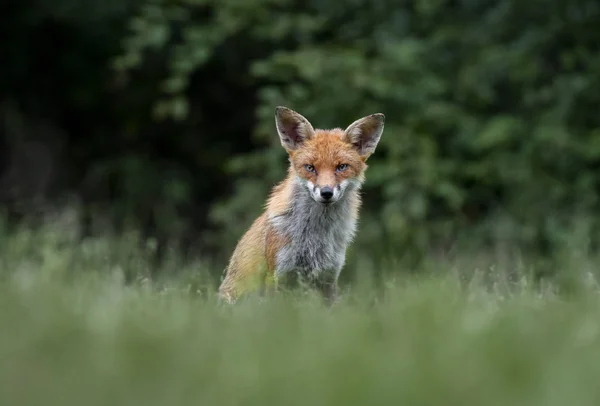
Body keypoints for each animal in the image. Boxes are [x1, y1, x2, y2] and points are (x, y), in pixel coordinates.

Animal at [219, 106, 384, 302]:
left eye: (341, 167)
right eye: (310, 168)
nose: (326, 193)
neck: (316, 236)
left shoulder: (329, 277)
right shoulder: (278, 274)